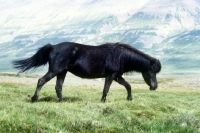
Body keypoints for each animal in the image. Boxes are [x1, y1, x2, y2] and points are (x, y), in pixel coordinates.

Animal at [12, 42, 162, 102]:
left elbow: (128, 86)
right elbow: (106, 89)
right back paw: (34, 98)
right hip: (55, 71)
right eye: (152, 71)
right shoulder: (111, 76)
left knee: (58, 87)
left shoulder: (117, 77)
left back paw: (61, 101)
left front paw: (129, 98)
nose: (155, 87)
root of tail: (53, 47)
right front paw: (102, 101)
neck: (120, 56)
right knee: (41, 81)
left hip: (62, 72)